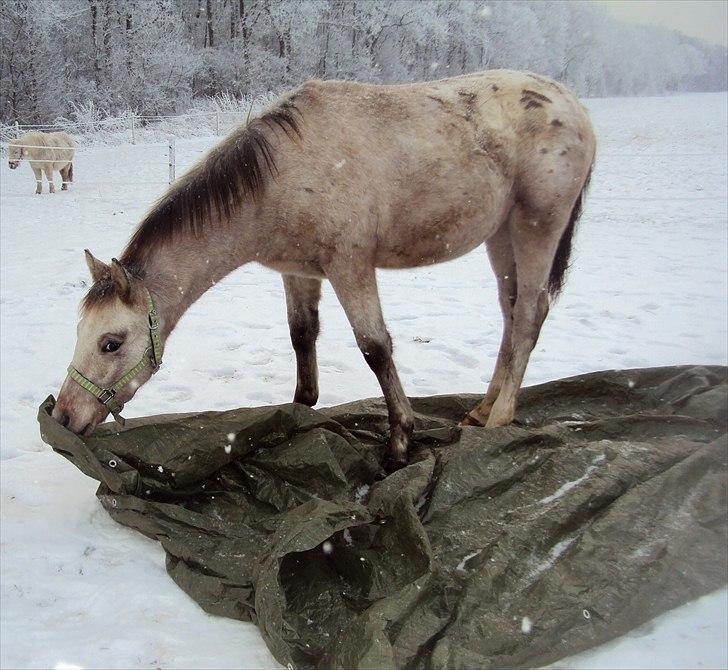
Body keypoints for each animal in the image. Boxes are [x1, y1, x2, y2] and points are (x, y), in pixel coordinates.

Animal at [54, 69, 596, 472]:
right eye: (78, 331)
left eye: (111, 343)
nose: (62, 416)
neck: (278, 177)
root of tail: (573, 105)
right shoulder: (299, 272)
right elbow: (301, 335)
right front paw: (297, 413)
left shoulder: (349, 266)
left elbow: (375, 348)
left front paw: (400, 442)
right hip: (500, 235)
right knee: (511, 313)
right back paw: (481, 410)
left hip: (535, 227)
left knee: (529, 316)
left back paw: (500, 418)